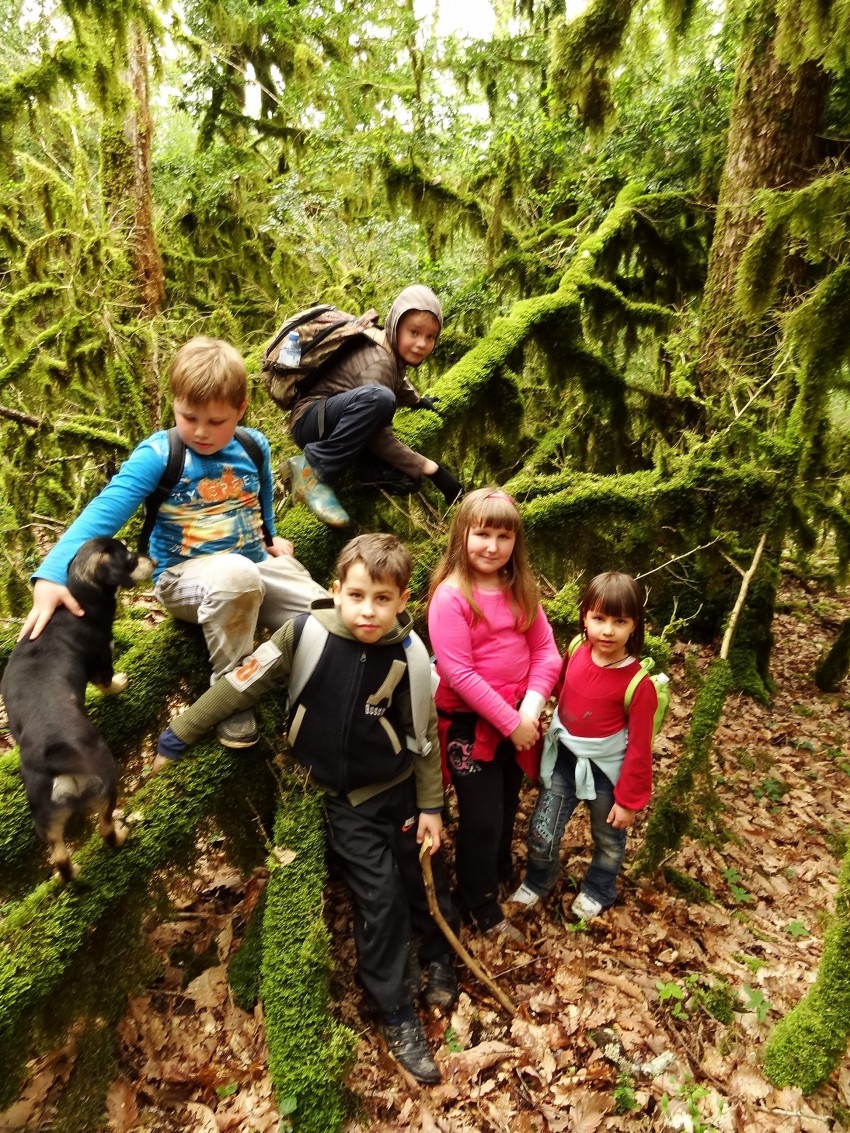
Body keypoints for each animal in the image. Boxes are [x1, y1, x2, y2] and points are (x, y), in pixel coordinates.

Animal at [1, 537, 152, 882]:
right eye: (129, 558)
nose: (150, 559)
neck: (81, 595)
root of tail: (57, 763)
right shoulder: (101, 661)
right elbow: (108, 683)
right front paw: (121, 683)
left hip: (44, 818)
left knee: (59, 856)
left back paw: (70, 875)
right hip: (106, 784)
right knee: (105, 829)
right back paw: (121, 835)